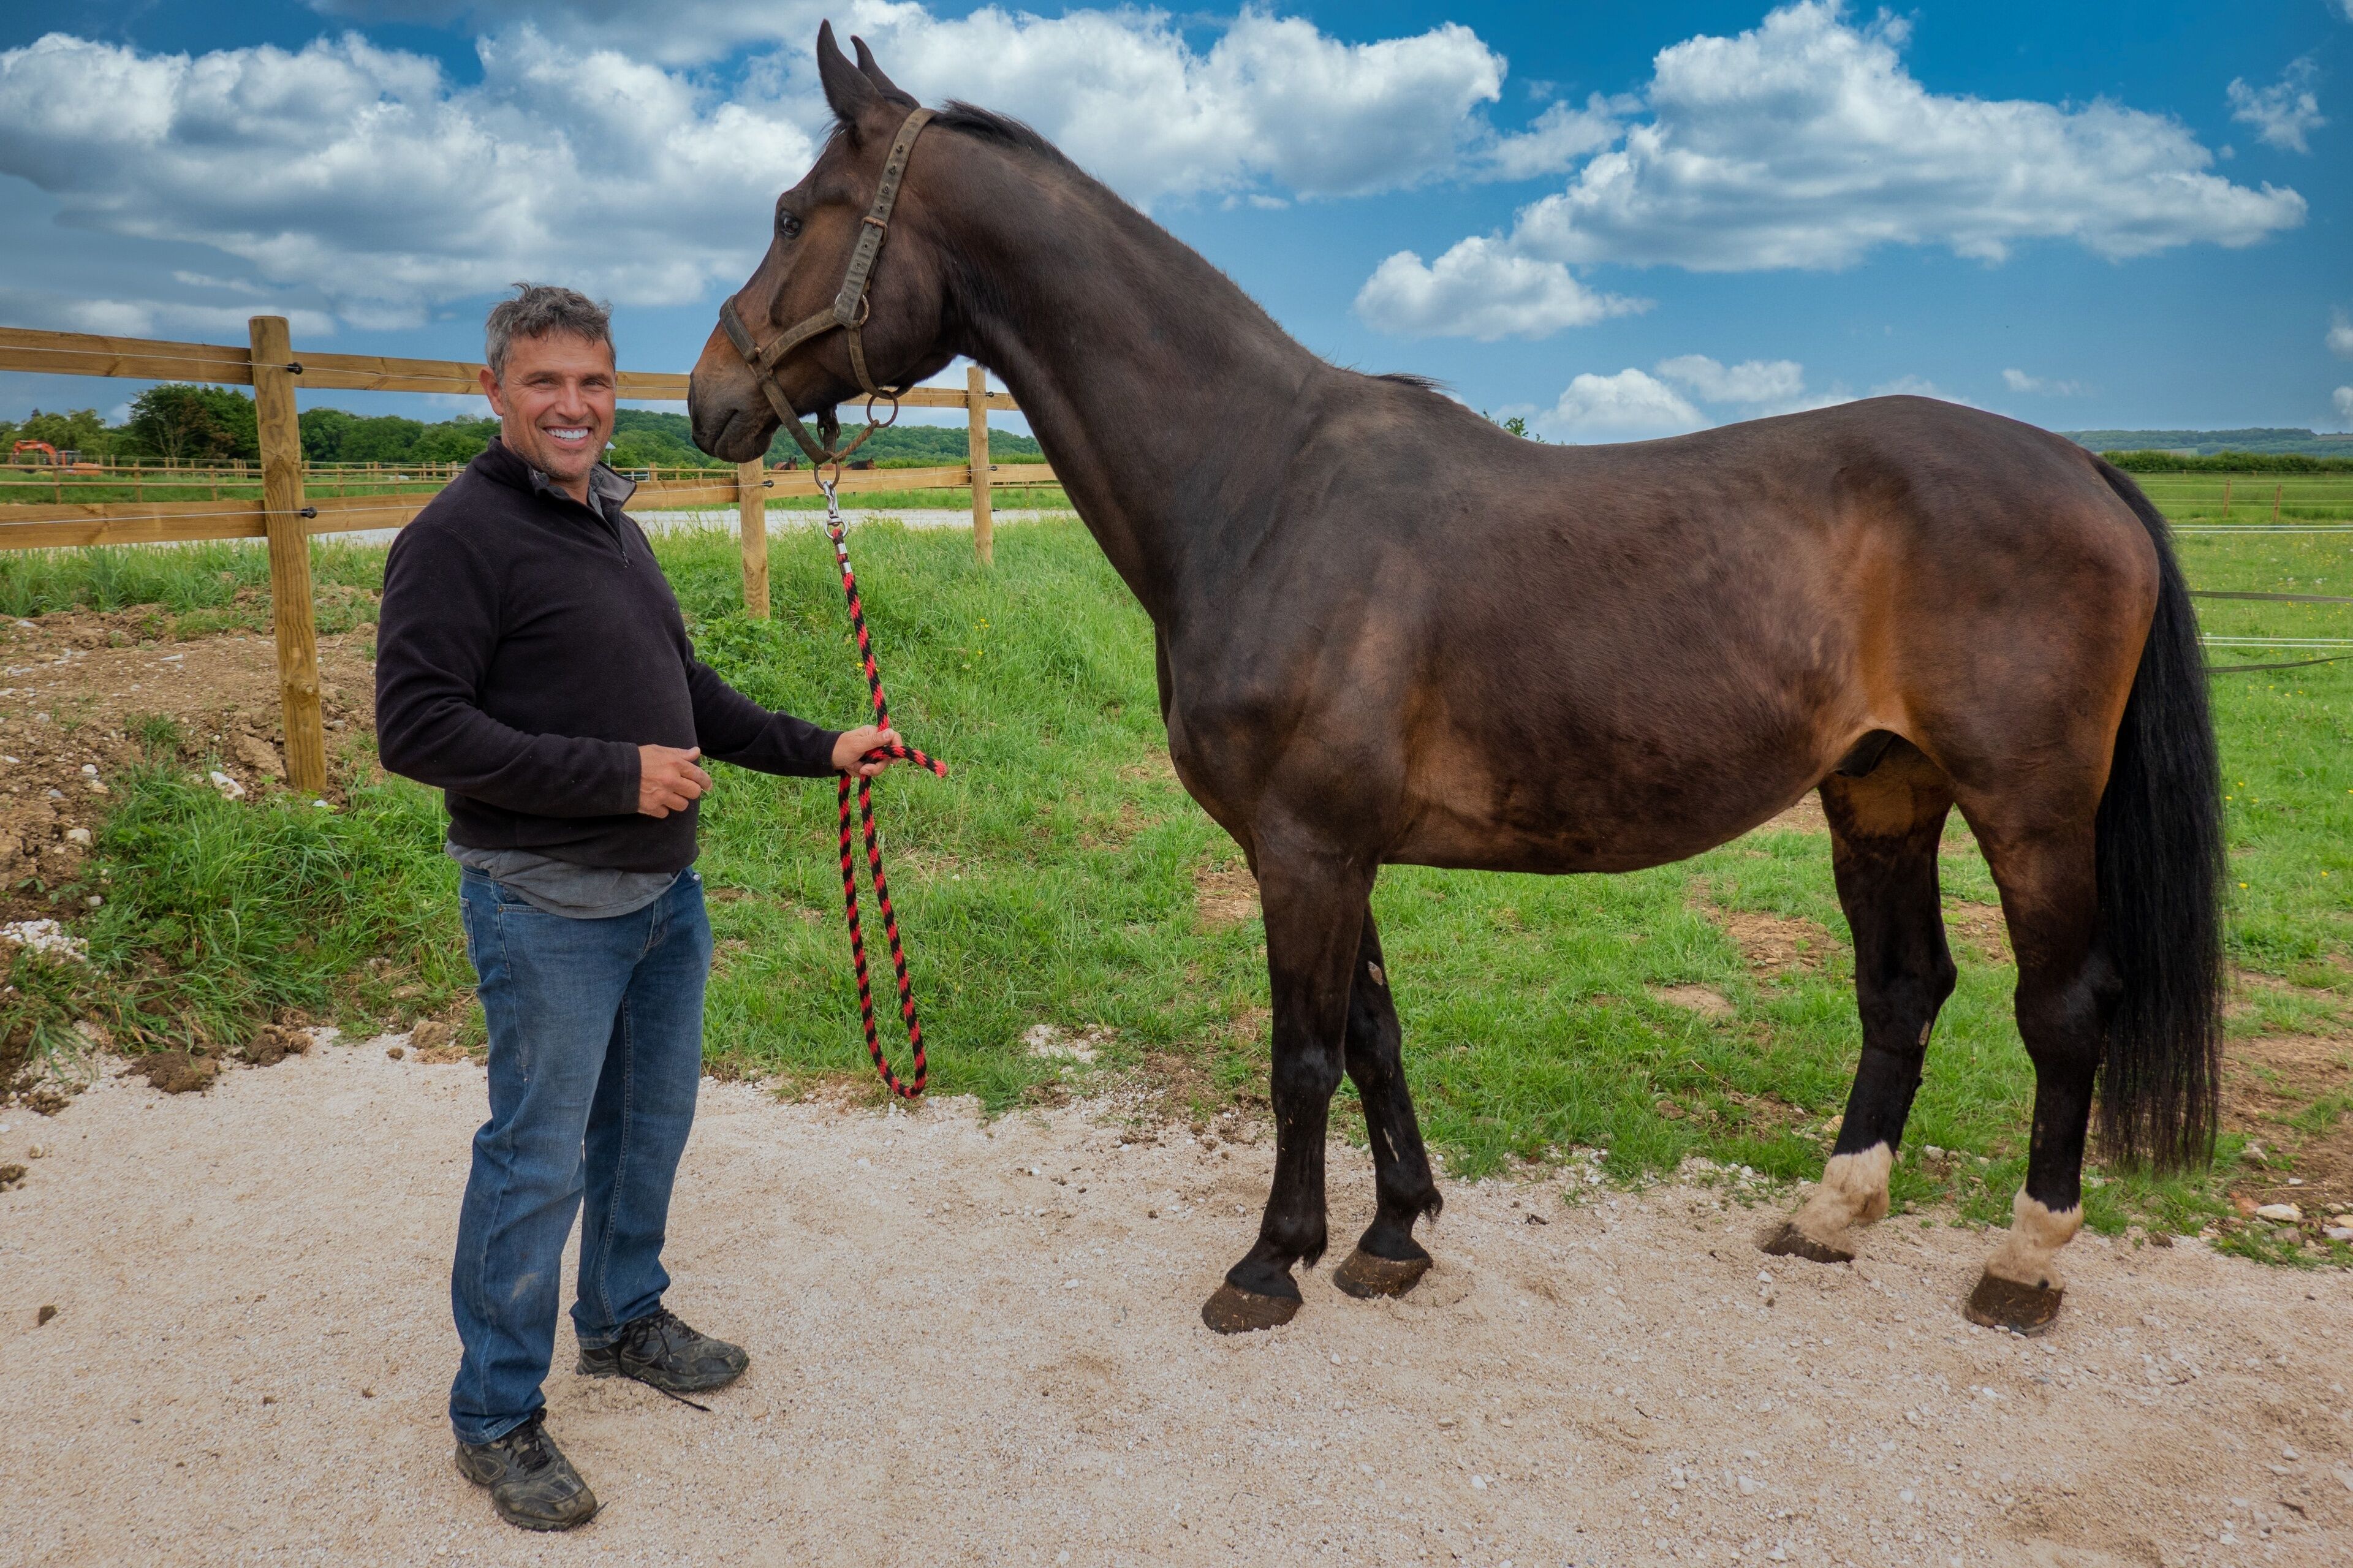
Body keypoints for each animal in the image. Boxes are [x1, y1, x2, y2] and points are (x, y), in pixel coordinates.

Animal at [688, 24, 2224, 1339]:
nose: (711, 400)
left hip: (2028, 807)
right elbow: (1373, 1034)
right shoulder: (1327, 844)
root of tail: (2082, 466)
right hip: (1883, 791)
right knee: (1902, 989)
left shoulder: (1306, 847)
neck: (1258, 486)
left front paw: (1271, 1261)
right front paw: (1392, 1236)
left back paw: (2024, 1262)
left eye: (792, 211)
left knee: (2063, 1008)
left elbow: (1302, 1055)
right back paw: (1832, 1216)